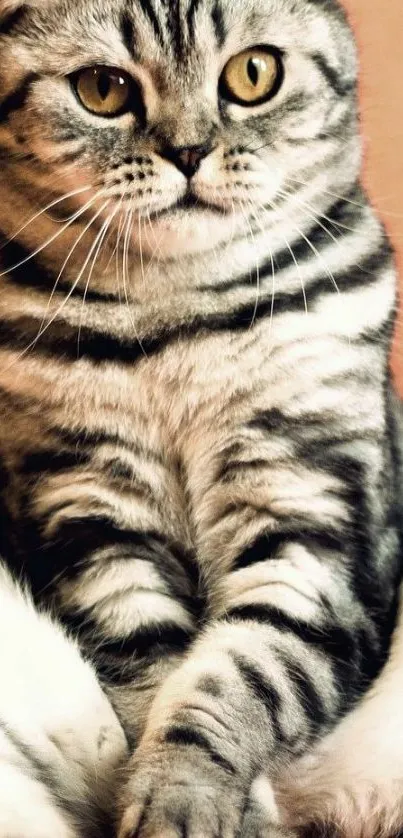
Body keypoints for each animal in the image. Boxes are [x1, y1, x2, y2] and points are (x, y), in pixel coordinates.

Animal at [0, 0, 403, 836]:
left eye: (252, 74)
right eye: (103, 89)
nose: (187, 151)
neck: (176, 322)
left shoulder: (315, 518)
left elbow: (241, 674)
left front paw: (186, 793)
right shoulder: (89, 519)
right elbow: (159, 673)